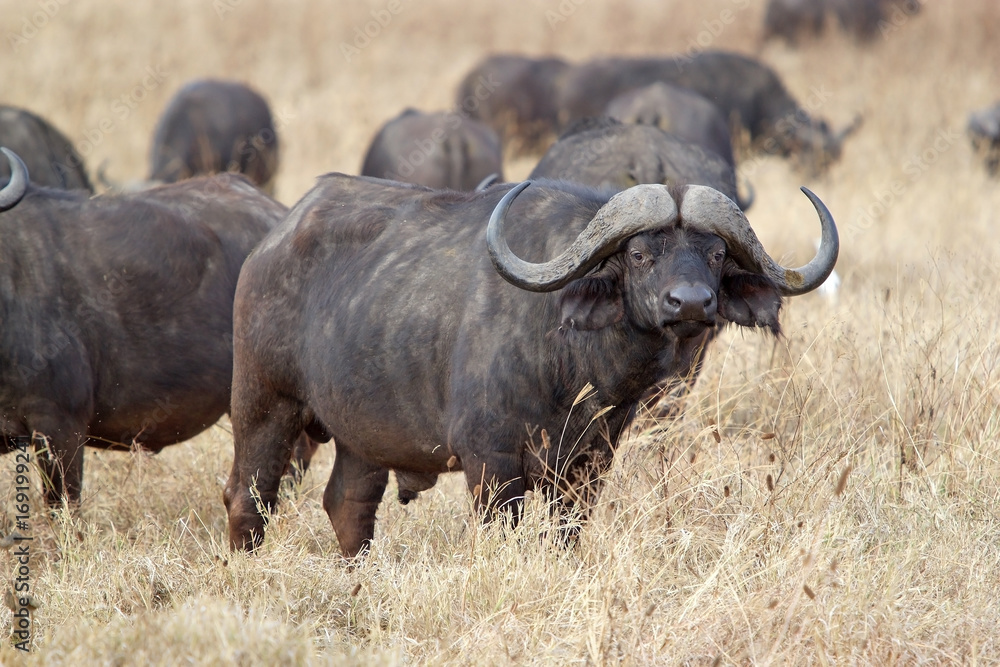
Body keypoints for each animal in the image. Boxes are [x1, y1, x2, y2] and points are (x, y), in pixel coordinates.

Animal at [224, 170, 838, 557]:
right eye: (640, 254)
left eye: (714, 254)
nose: (690, 303)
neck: (572, 368)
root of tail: (267, 246)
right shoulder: (491, 463)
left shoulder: (588, 466)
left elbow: (565, 535)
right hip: (264, 405)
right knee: (247, 499)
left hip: (362, 435)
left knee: (348, 507)